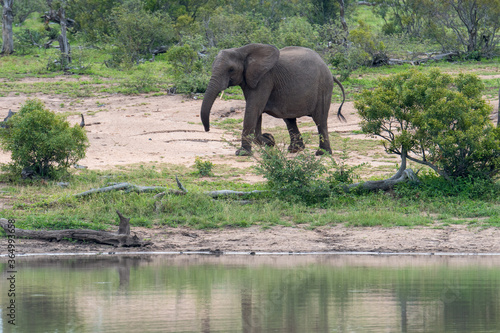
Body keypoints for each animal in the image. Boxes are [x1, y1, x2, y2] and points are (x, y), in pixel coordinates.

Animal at [199, 42, 344, 156]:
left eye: (231, 69)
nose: (207, 130)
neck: (242, 50)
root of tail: (329, 70)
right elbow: (256, 112)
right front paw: (268, 140)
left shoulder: (265, 78)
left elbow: (253, 109)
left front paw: (243, 153)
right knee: (290, 120)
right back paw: (294, 150)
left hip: (324, 87)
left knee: (320, 119)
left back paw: (322, 153)